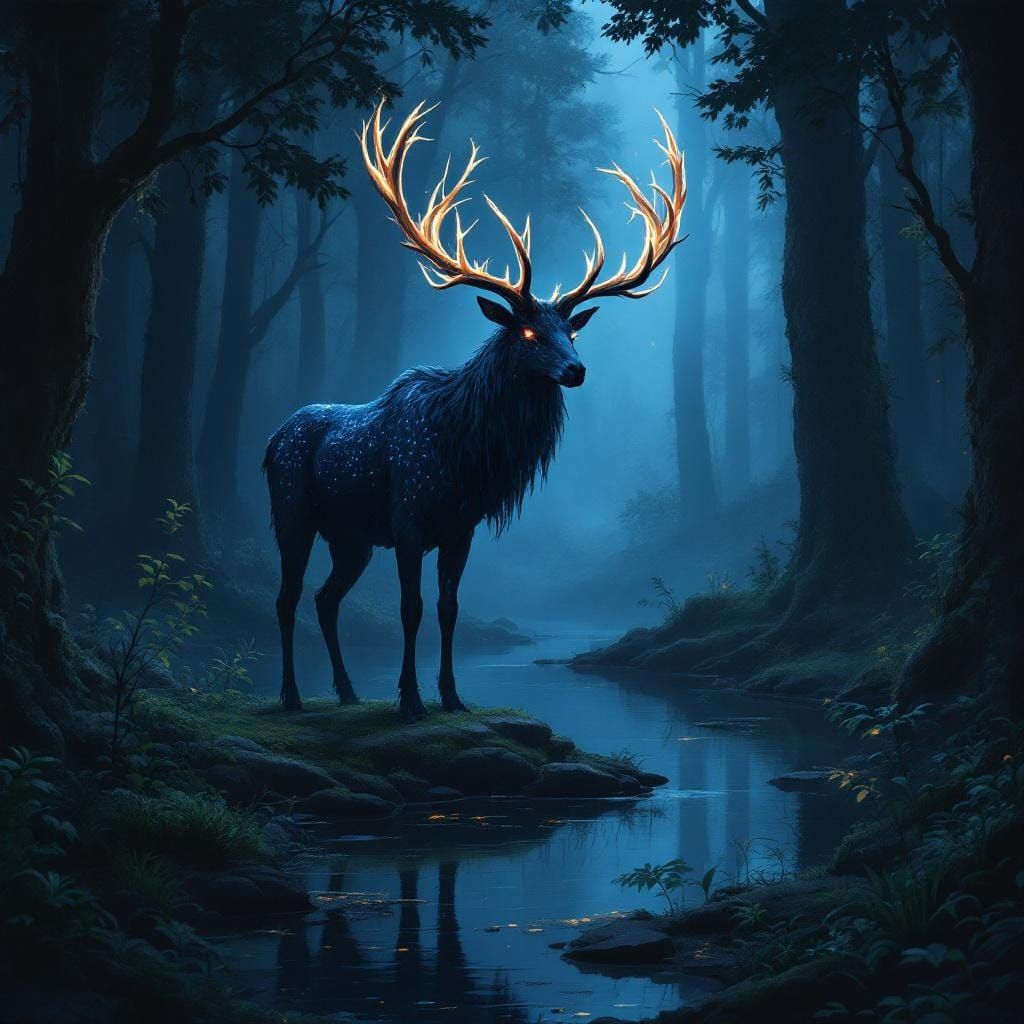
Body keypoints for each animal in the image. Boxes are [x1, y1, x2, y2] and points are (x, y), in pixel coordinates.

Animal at [263, 99, 686, 717]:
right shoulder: (409, 515)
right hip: (292, 509)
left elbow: (448, 609)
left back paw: (345, 690)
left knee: (325, 597)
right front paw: (411, 700)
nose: (577, 371)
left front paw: (452, 696)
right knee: (288, 594)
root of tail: (271, 440)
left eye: (572, 334)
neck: (464, 450)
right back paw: (293, 695)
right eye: (529, 331)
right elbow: (410, 609)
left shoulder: (461, 527)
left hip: (351, 537)